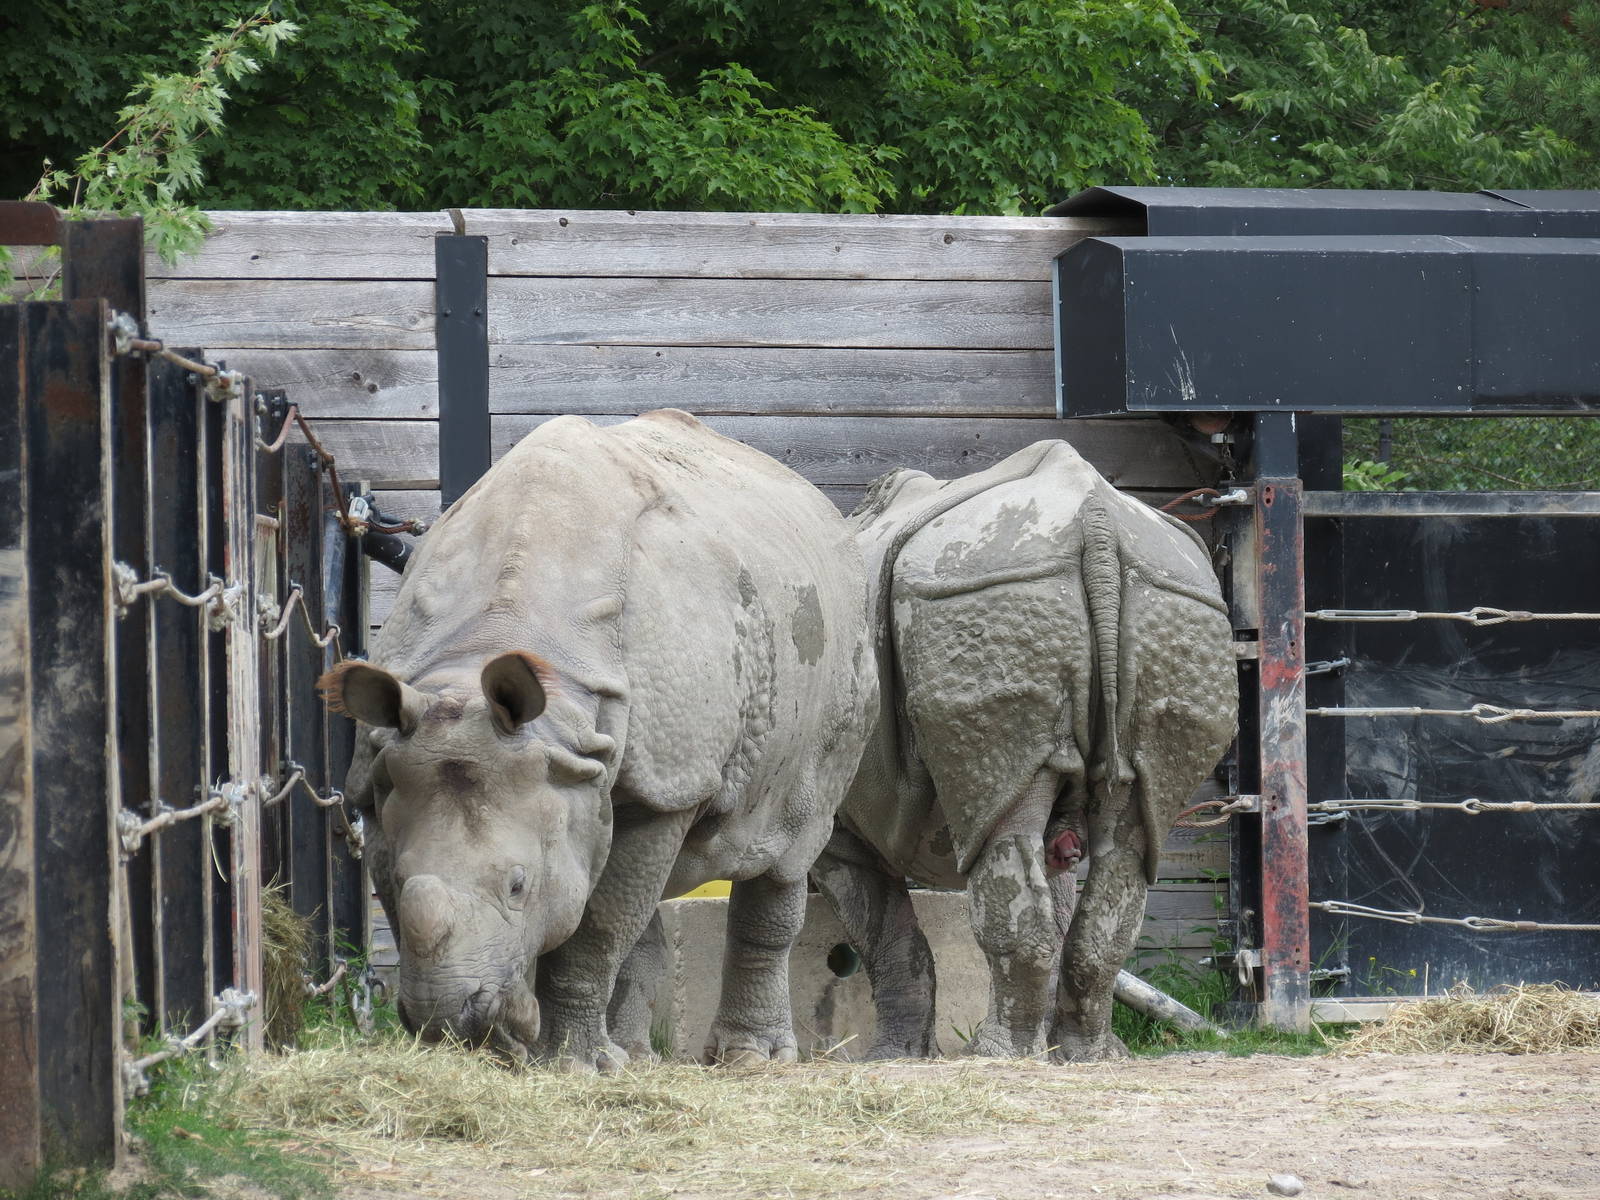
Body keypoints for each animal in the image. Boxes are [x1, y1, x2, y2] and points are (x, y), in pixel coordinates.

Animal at [321, 410, 873, 1070]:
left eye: (518, 885)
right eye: (399, 882)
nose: (448, 1020)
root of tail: (823, 508)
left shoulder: (670, 783)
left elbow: (599, 925)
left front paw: (573, 1065)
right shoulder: (385, 773)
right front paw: (532, 1052)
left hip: (839, 648)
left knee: (788, 849)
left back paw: (750, 1060)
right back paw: (635, 1056)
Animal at [812, 439, 1237, 1062]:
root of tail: (1096, 522)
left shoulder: (834, 828)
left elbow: (884, 936)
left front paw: (890, 1058)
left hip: (983, 589)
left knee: (1003, 822)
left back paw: (990, 1056)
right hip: (1172, 602)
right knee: (1129, 831)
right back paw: (1091, 1057)